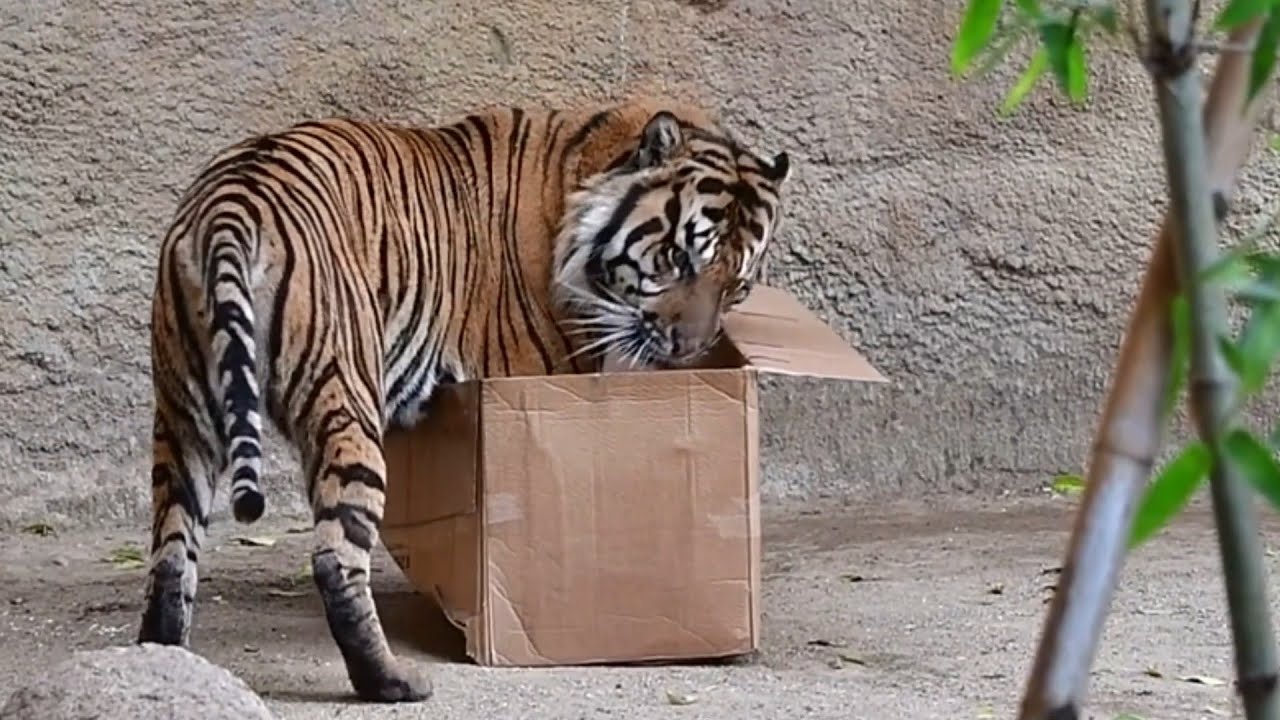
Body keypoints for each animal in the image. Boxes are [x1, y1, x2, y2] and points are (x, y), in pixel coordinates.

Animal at [138, 94, 792, 703]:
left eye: (736, 286)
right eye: (678, 257)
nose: (690, 349)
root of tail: (231, 204)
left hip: (183, 414)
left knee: (172, 551)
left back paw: (165, 660)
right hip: (343, 401)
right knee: (334, 556)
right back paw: (392, 681)